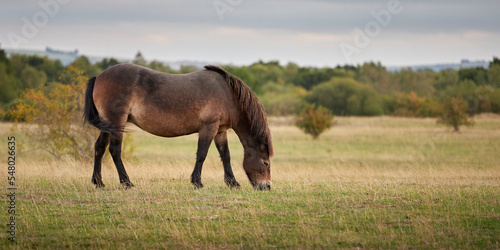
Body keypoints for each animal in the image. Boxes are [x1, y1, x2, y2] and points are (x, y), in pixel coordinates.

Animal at [85, 63, 274, 190]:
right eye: (265, 162)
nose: (266, 186)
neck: (227, 95)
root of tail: (99, 77)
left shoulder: (220, 131)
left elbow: (225, 155)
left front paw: (233, 183)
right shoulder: (209, 127)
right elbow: (202, 154)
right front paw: (197, 182)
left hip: (107, 125)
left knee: (99, 147)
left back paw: (99, 182)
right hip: (117, 123)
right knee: (115, 150)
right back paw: (127, 183)